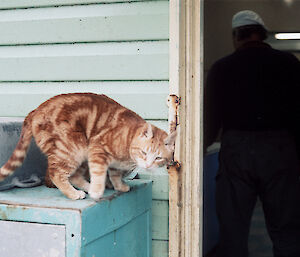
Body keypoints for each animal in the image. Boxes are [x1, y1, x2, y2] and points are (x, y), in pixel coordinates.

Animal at [0, 93, 176, 199]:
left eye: (158, 158)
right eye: (144, 153)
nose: (147, 165)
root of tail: (34, 111)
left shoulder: (113, 165)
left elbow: (115, 175)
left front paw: (119, 187)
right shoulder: (97, 149)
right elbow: (99, 173)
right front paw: (97, 191)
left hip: (80, 155)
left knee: (74, 176)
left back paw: (87, 188)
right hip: (73, 149)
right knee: (57, 174)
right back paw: (75, 193)